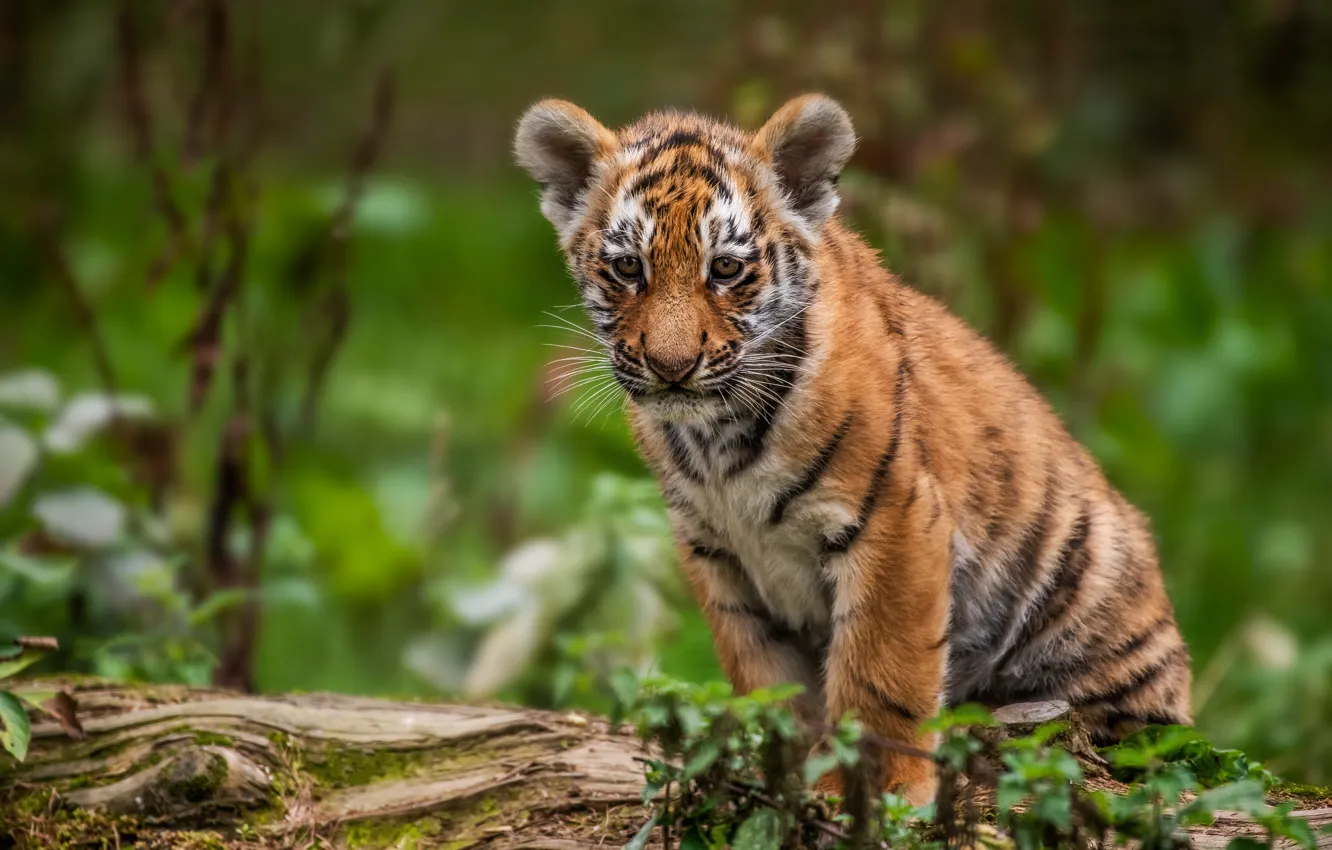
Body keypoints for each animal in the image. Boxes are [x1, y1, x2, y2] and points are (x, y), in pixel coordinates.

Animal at [513, 94, 1192, 803]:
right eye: (628, 268)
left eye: (725, 268)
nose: (672, 368)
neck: (716, 438)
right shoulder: (714, 550)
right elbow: (766, 676)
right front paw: (784, 772)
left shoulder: (895, 522)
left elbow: (880, 672)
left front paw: (879, 788)